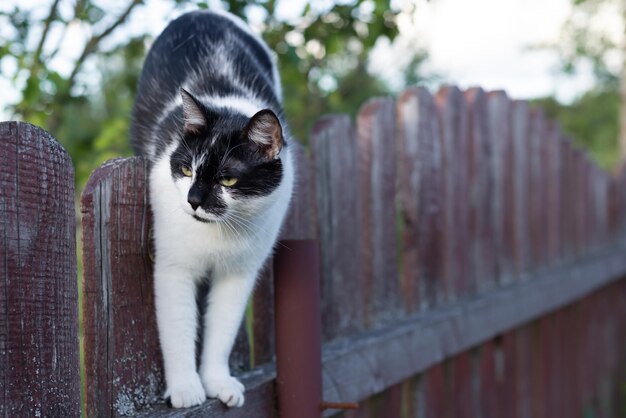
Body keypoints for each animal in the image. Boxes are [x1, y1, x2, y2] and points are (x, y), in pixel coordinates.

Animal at [130, 9, 294, 408]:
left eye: (228, 180)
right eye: (187, 169)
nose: (193, 200)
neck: (218, 234)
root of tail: (204, 10)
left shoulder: (239, 273)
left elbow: (223, 330)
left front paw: (218, 381)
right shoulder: (173, 268)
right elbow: (178, 328)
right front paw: (186, 388)